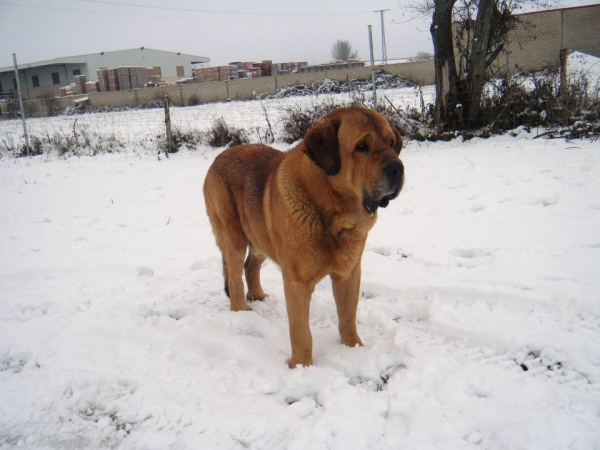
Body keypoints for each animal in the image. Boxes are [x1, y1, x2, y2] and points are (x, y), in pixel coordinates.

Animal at [204, 107, 406, 368]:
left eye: (392, 144)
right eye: (362, 146)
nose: (397, 167)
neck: (332, 213)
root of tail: (217, 158)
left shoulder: (349, 273)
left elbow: (347, 316)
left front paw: (353, 349)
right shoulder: (297, 282)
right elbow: (301, 331)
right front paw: (301, 366)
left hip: (260, 233)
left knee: (251, 265)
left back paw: (257, 295)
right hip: (233, 235)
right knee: (235, 275)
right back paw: (240, 311)